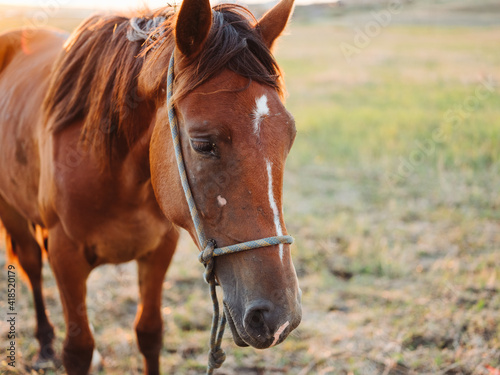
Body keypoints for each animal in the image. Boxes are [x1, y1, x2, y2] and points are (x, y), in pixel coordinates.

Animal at [0, 0, 300, 374]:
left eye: (289, 137)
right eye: (203, 144)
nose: (280, 316)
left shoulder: (160, 249)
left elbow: (149, 333)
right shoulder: (65, 256)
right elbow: (78, 350)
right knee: (30, 264)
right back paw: (43, 344)